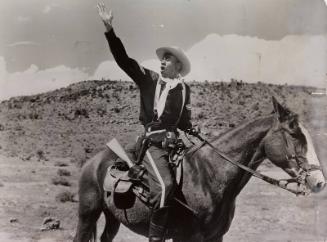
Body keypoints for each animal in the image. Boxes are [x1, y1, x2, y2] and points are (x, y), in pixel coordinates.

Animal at [73, 97, 326, 242]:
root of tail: (92, 163)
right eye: (294, 134)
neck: (209, 176)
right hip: (87, 214)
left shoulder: (216, 237)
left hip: (112, 217)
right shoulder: (187, 237)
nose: (319, 181)